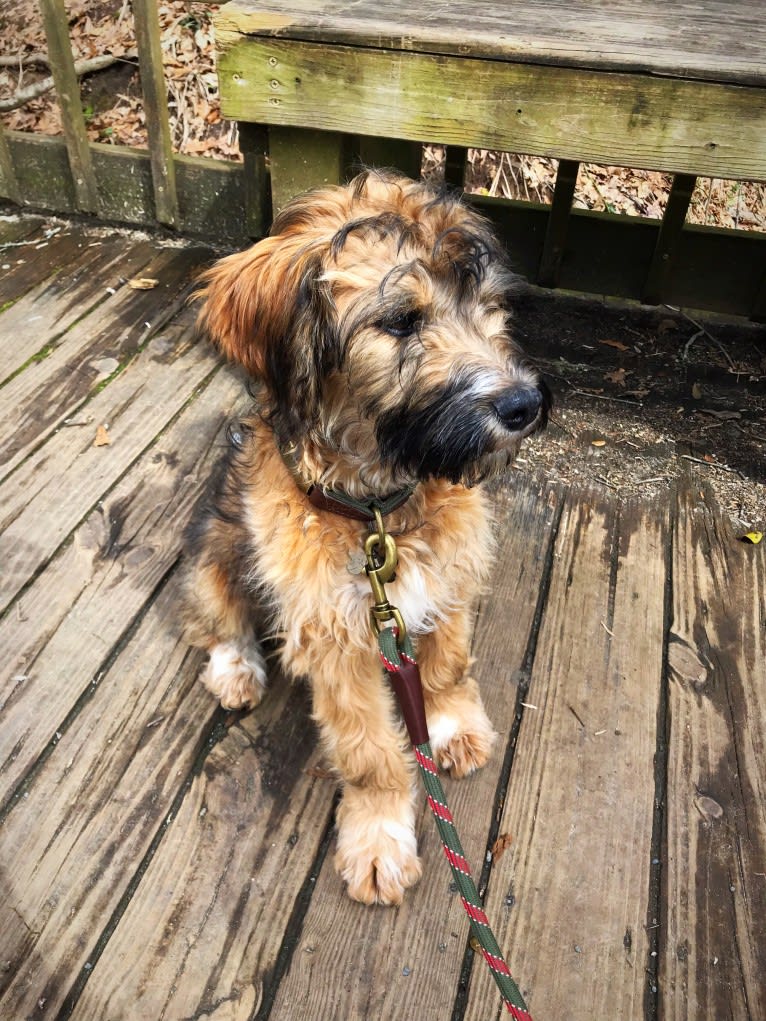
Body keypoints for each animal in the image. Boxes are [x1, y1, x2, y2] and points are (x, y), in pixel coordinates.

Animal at [182, 171, 547, 906]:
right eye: (403, 320)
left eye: (491, 308)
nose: (524, 407)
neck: (378, 510)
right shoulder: (335, 635)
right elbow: (369, 752)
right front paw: (379, 837)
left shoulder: (447, 580)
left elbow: (445, 663)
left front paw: (451, 725)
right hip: (216, 553)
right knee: (217, 620)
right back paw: (236, 669)